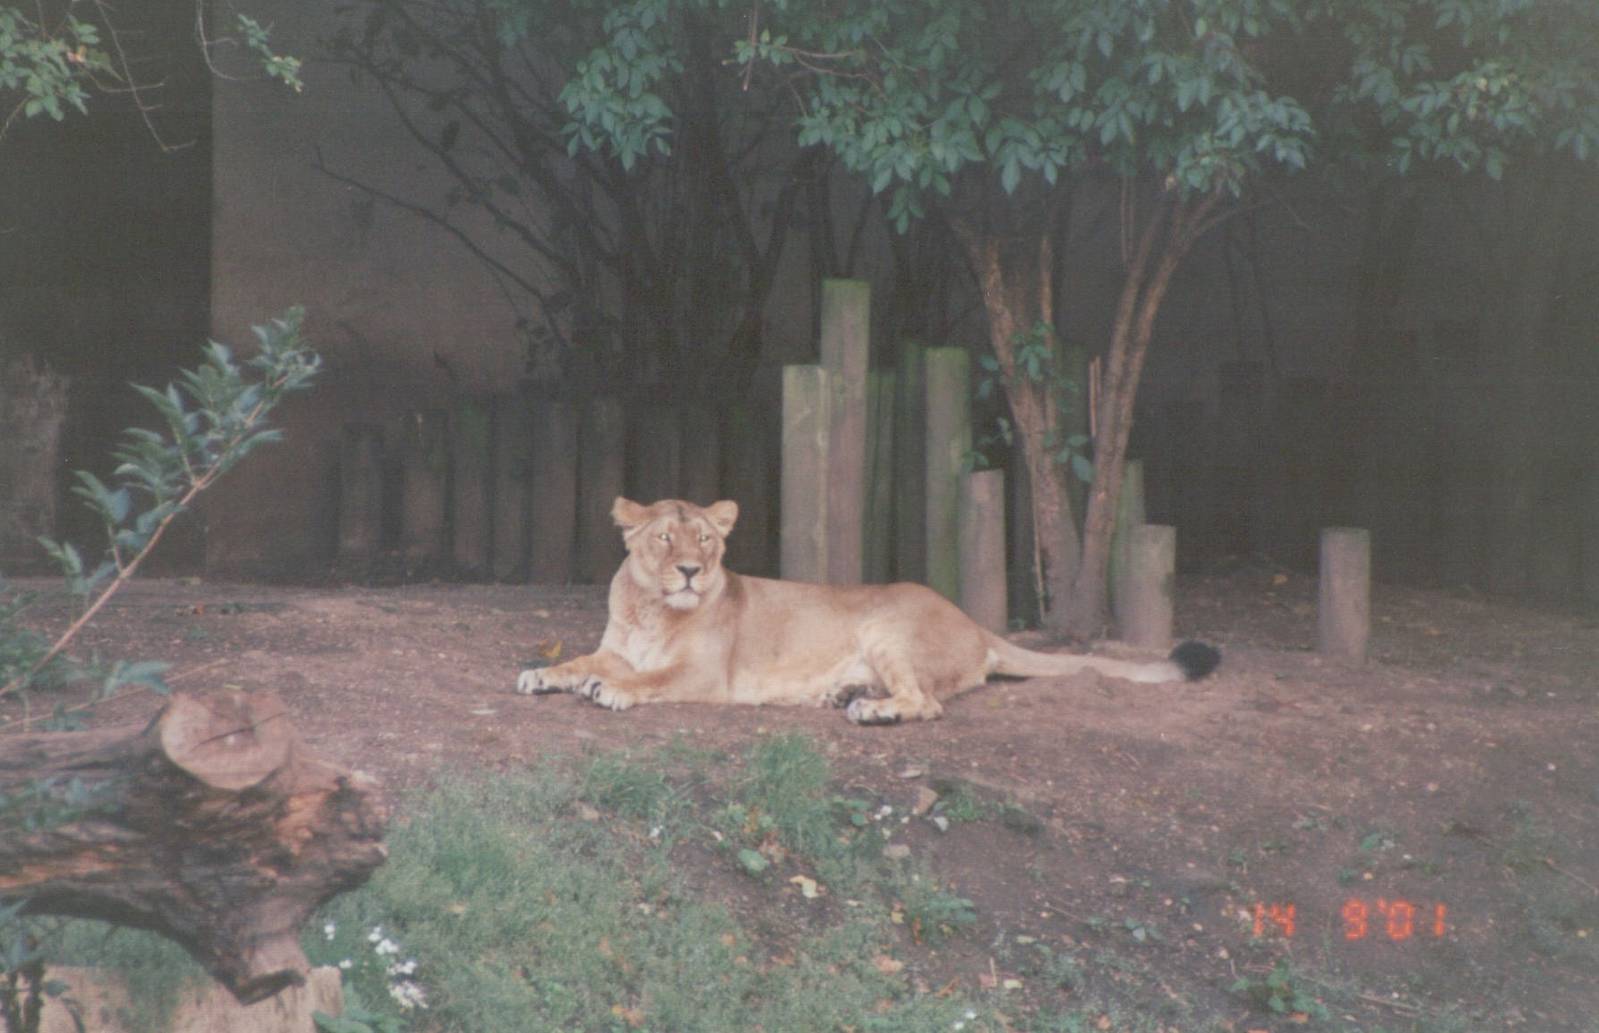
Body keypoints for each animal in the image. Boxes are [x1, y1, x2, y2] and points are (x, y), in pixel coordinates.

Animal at [514, 497, 1220, 724]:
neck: (651, 608)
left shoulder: (703, 675)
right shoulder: (615, 645)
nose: (692, 571)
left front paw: (607, 691)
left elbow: (647, 679)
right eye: (665, 538)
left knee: (927, 703)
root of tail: (974, 622)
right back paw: (845, 693)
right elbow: (580, 660)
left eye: (707, 541)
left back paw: (870, 709)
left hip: (888, 628)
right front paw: (542, 674)